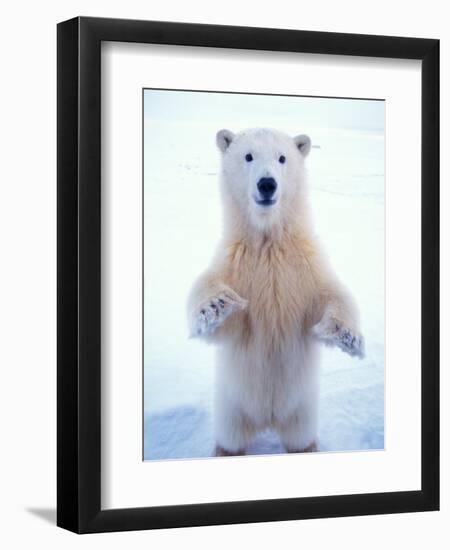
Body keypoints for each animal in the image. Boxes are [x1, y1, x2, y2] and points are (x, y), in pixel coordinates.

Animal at [188, 128, 364, 458]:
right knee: (231, 438)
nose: (267, 184)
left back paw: (307, 447)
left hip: (302, 409)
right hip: (232, 406)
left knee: (299, 438)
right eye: (248, 156)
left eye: (282, 158)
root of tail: (268, 420)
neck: (268, 242)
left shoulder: (303, 266)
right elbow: (215, 303)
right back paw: (224, 450)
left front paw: (347, 335)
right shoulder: (236, 263)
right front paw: (216, 304)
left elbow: (331, 294)